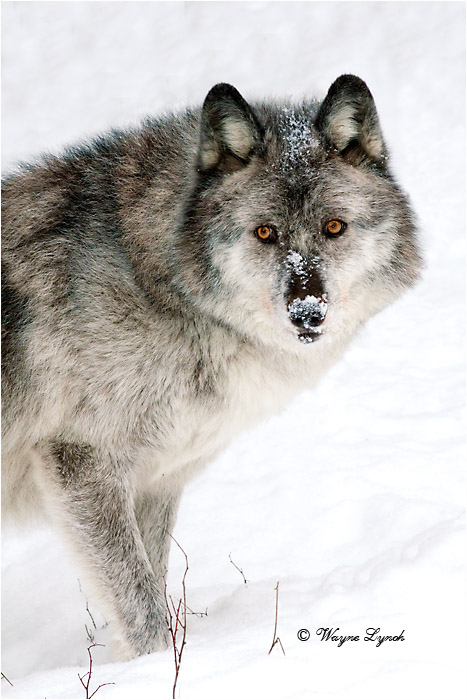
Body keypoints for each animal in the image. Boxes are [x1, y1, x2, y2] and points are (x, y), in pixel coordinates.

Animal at [2, 75, 421, 659]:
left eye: (334, 227)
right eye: (265, 233)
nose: (306, 311)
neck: (156, 278)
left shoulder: (156, 479)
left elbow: (151, 582)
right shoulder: (83, 463)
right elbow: (139, 604)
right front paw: (156, 669)